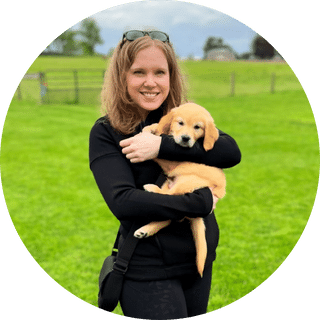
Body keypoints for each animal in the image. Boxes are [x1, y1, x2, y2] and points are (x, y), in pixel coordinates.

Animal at [134, 103, 226, 278]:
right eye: (180, 123)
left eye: (197, 127)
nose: (185, 138)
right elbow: (159, 127)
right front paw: (152, 128)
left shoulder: (171, 162)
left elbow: (158, 153)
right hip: (169, 183)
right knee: (167, 213)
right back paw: (144, 231)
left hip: (187, 180)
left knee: (169, 198)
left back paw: (150, 188)